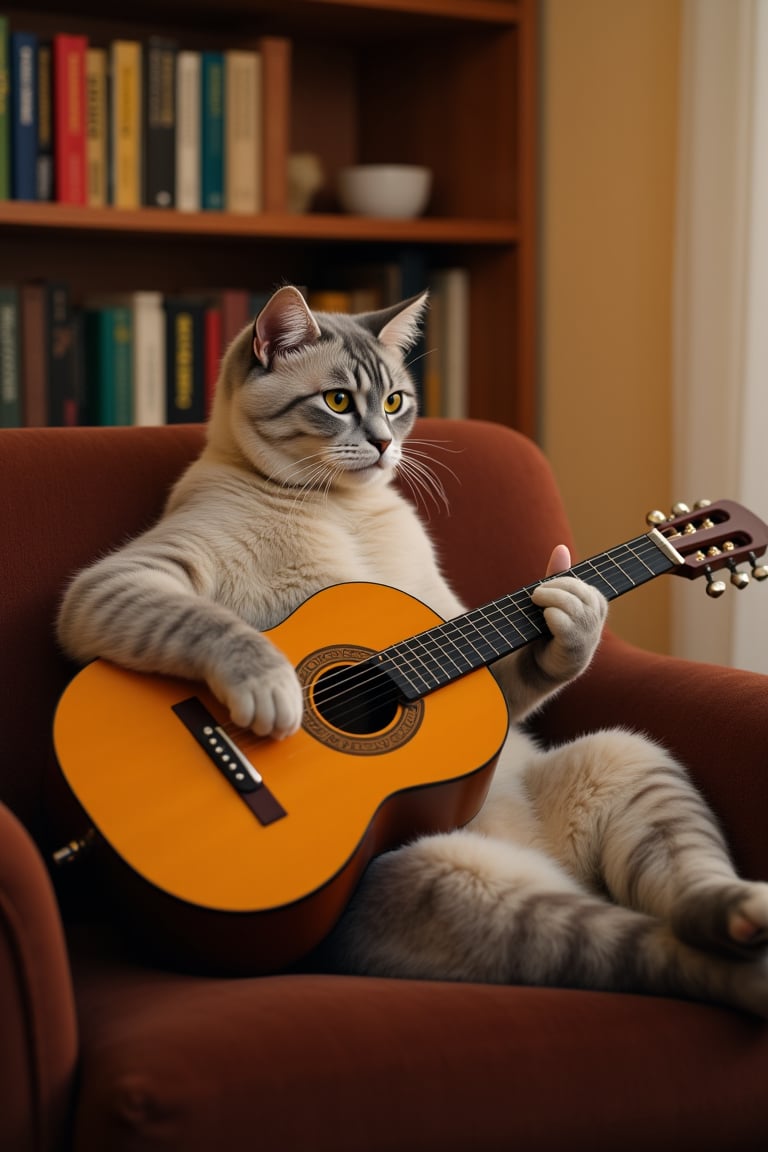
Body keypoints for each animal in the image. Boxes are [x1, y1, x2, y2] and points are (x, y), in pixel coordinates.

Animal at [55, 283, 768, 1013]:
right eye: (338, 401)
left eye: (395, 403)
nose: (381, 444)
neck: (342, 507)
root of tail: (552, 861)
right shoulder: (119, 581)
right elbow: (217, 630)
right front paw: (272, 689)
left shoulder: (464, 640)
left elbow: (530, 666)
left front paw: (576, 611)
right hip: (460, 885)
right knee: (645, 946)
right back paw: (750, 963)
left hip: (629, 762)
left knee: (681, 888)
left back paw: (738, 912)